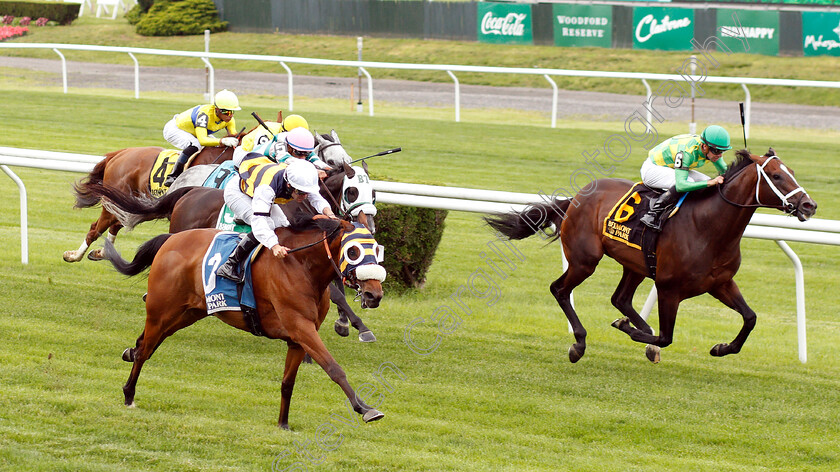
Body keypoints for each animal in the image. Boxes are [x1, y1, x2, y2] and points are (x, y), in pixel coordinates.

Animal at [63, 142, 236, 264]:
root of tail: (120, 153)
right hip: (115, 202)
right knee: (96, 228)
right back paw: (74, 256)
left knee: (118, 223)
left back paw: (102, 252)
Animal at [101, 216, 388, 430]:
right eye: (353, 251)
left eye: (376, 249)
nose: (374, 295)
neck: (301, 265)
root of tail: (171, 238)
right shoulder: (301, 327)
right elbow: (334, 368)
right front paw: (366, 409)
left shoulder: (298, 339)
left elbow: (288, 383)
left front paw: (283, 424)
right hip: (162, 311)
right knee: (145, 350)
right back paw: (129, 394)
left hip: (185, 314)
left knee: (144, 345)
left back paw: (129, 355)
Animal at [482, 149, 816, 364]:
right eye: (776, 175)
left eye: (792, 173)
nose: (809, 205)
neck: (708, 227)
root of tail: (577, 196)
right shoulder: (669, 289)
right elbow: (666, 337)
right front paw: (631, 332)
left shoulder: (720, 283)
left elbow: (750, 318)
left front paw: (721, 348)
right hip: (584, 260)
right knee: (560, 289)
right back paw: (579, 343)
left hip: (636, 265)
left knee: (620, 299)